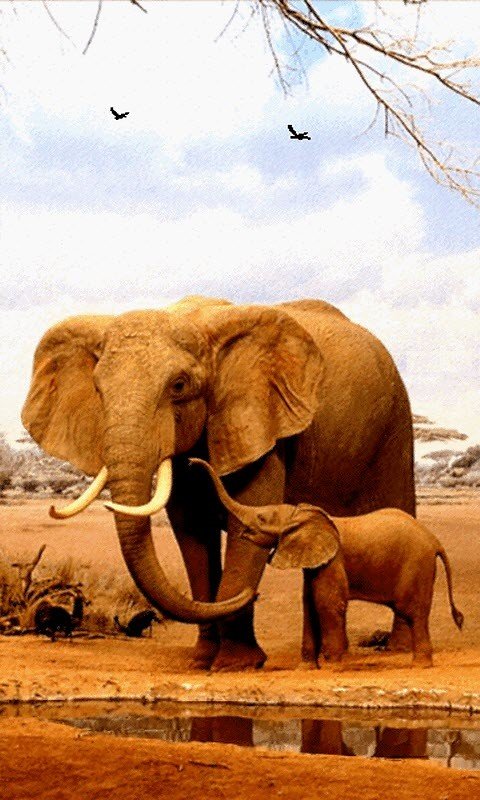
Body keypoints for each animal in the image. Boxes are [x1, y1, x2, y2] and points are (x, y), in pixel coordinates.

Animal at [22, 295, 415, 671]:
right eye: (99, 390)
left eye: (179, 386)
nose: (252, 594)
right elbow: (192, 534)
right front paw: (201, 661)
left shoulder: (258, 423)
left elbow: (246, 521)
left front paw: (234, 665)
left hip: (396, 422)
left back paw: (399, 649)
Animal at [193, 458, 463, 668]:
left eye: (261, 517)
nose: (191, 462)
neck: (302, 515)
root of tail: (434, 540)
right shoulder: (314, 564)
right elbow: (309, 604)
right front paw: (306, 668)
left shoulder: (333, 560)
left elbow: (327, 603)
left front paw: (333, 666)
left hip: (417, 565)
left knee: (413, 613)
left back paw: (420, 665)